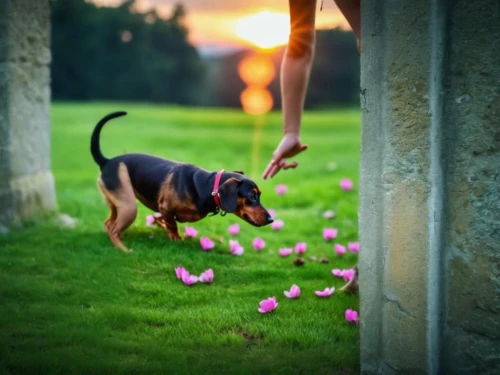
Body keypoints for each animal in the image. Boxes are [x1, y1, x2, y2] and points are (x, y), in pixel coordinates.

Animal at [90, 111, 274, 253]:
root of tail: (106, 161)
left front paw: (162, 226)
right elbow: (171, 224)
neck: (207, 186)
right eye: (252, 196)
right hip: (129, 206)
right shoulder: (165, 207)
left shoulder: (161, 210)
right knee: (113, 229)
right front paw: (175, 238)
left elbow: (161, 219)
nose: (271, 219)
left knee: (108, 224)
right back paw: (124, 250)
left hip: (118, 203)